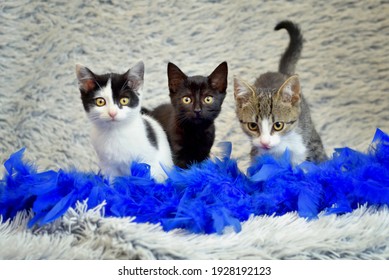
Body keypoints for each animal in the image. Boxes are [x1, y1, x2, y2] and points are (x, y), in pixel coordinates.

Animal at [233, 21, 328, 166]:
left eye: (278, 125)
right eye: (252, 126)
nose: (265, 143)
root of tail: (280, 73)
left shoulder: (306, 147)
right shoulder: (256, 153)